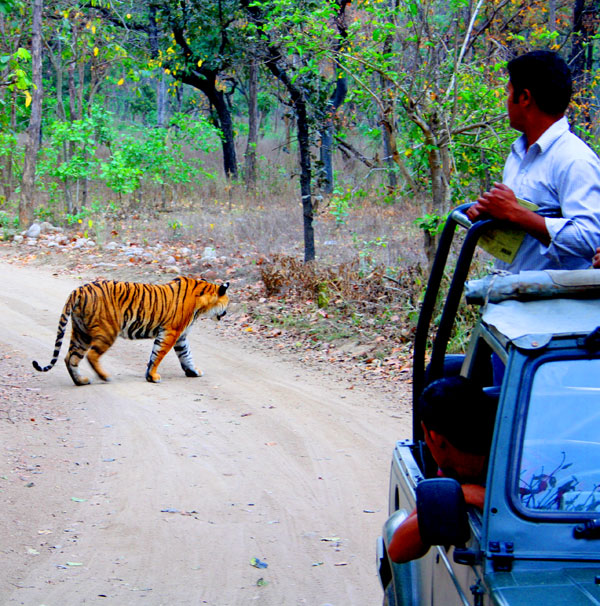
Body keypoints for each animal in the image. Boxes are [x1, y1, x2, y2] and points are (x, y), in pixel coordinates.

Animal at [33, 278, 230, 388]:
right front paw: (152, 376)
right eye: (227, 303)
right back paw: (104, 377)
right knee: (91, 356)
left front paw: (193, 371)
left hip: (81, 333)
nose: (226, 313)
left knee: (71, 358)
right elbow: (158, 355)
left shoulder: (180, 337)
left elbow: (186, 355)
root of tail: (78, 290)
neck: (202, 305)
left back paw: (81, 381)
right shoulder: (171, 332)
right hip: (107, 331)